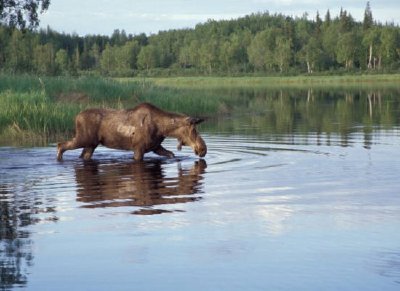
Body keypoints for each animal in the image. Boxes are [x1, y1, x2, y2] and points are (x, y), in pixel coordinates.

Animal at [57, 102, 206, 162]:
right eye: (193, 130)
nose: (203, 149)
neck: (162, 129)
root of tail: (76, 117)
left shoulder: (156, 147)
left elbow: (171, 155)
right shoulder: (138, 148)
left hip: (91, 145)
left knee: (82, 156)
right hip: (83, 138)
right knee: (61, 145)